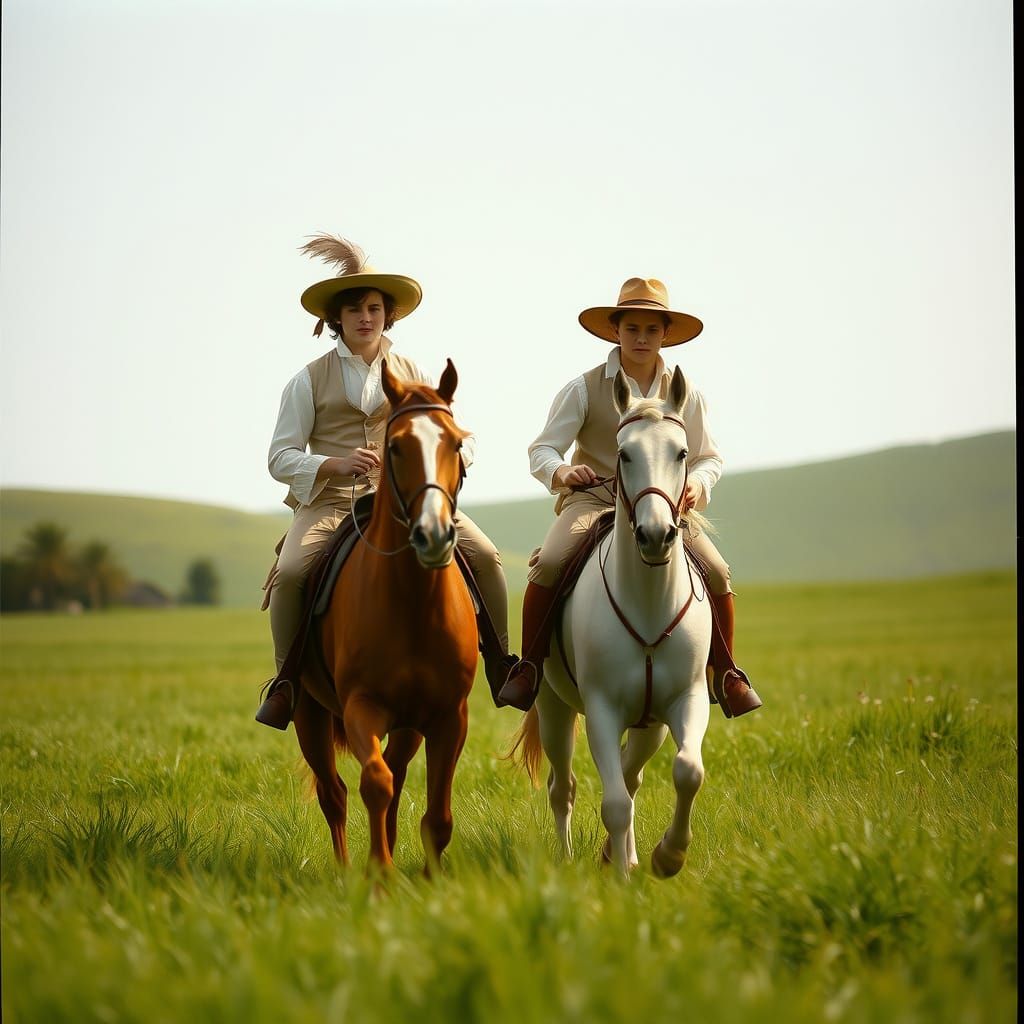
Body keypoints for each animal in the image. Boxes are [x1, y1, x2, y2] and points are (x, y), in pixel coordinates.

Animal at [293, 359, 479, 874]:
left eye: (456, 443)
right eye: (395, 447)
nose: (433, 535)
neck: (412, 604)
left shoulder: (447, 716)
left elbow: (436, 815)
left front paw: (428, 878)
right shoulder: (363, 706)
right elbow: (374, 783)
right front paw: (379, 874)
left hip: (408, 724)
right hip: (308, 715)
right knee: (334, 793)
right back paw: (344, 871)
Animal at [512, 366, 714, 877]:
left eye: (682, 452)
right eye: (624, 454)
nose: (656, 535)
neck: (648, 602)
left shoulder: (684, 701)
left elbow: (686, 772)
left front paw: (666, 856)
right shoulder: (601, 709)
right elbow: (615, 802)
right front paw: (622, 875)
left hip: (648, 725)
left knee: (631, 774)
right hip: (554, 709)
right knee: (563, 788)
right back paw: (569, 858)